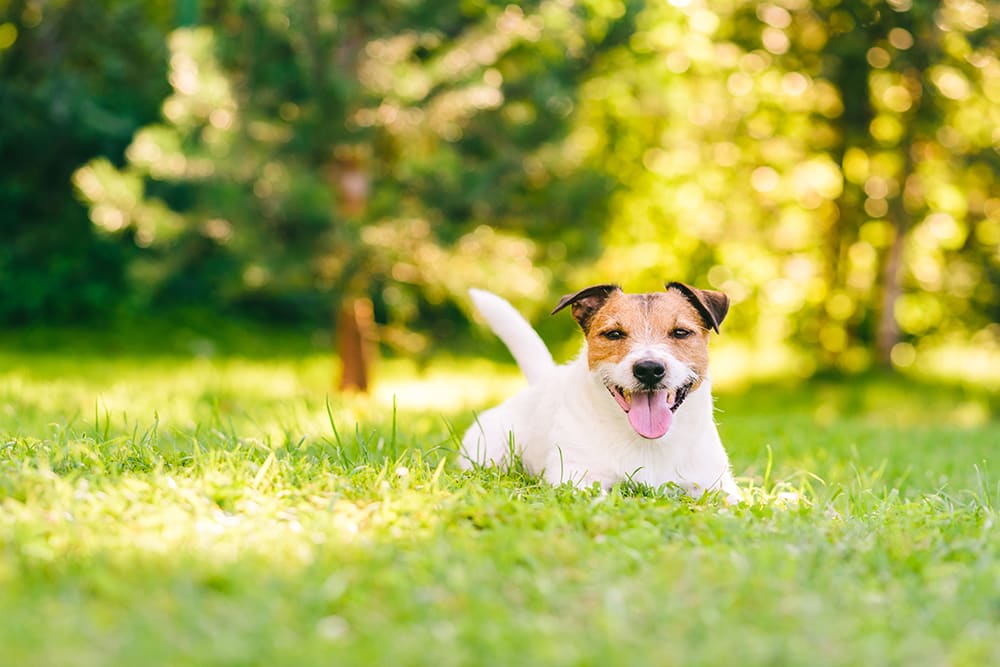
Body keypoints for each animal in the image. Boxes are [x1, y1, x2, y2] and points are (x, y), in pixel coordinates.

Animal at [458, 282, 740, 500]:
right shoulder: (574, 477)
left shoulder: (715, 483)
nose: (649, 369)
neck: (647, 442)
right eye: (613, 334)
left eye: (681, 332)